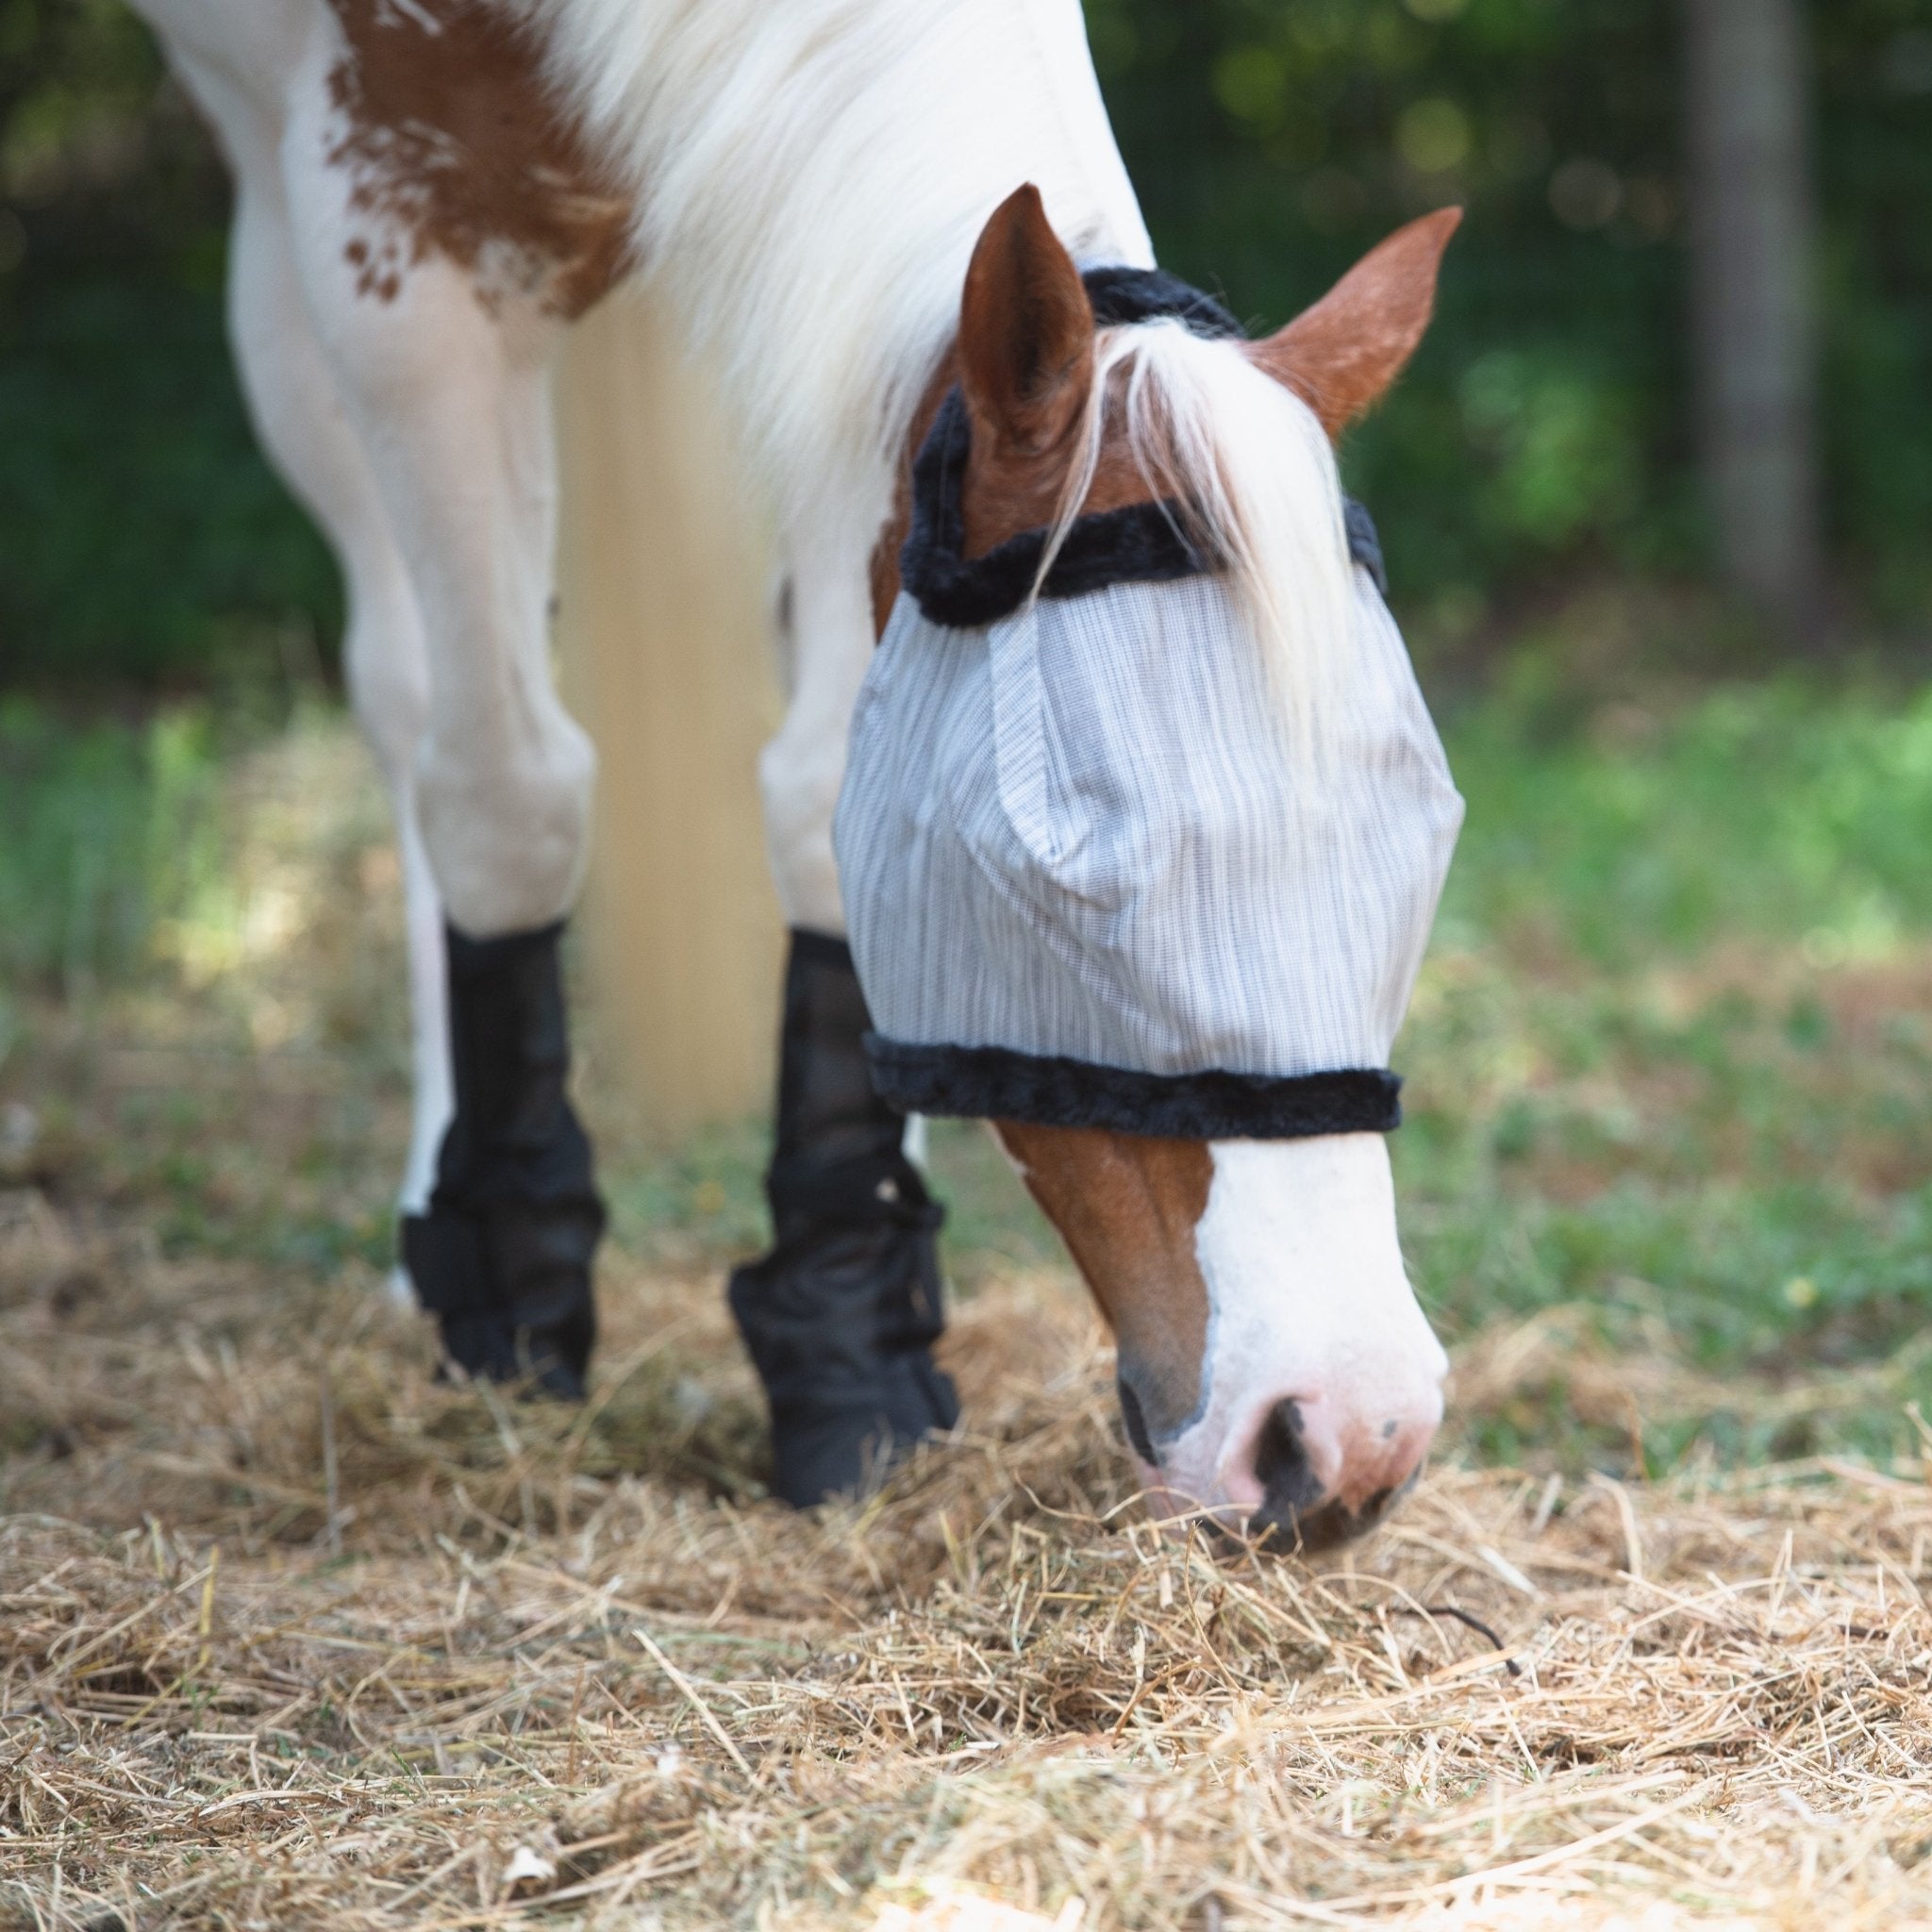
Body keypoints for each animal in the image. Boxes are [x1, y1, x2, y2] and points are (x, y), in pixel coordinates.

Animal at [128, 0, 1460, 1545]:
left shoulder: (831, 338)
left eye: (1422, 835)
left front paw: (848, 1353)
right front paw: (515, 1303)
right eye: (1063, 879)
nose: (1346, 1436)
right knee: (414, 704)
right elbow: (506, 796)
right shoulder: (396, 272)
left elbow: (825, 799)